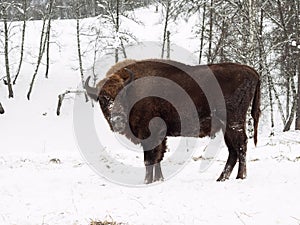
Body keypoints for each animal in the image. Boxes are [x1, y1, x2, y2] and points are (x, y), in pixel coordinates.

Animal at [85, 59, 260, 184]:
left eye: (122, 95)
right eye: (102, 99)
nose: (117, 120)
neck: (133, 91)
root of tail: (251, 71)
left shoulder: (149, 134)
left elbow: (149, 159)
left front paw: (147, 181)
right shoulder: (160, 136)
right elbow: (158, 157)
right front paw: (158, 179)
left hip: (233, 122)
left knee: (241, 145)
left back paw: (240, 177)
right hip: (226, 127)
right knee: (233, 150)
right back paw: (221, 178)